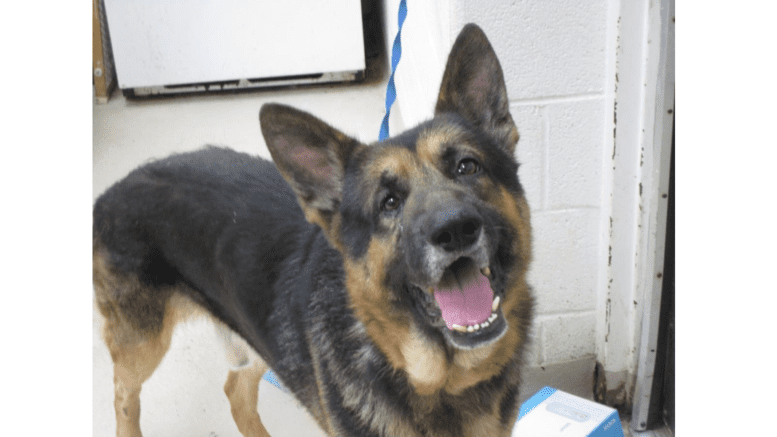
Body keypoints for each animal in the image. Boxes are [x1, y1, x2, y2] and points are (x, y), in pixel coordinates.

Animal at [94, 24, 532, 436]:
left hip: (258, 341)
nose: (455, 230)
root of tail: (113, 189)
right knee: (123, 397)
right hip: (142, 345)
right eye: (388, 203)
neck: (447, 381)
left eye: (467, 167)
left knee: (234, 392)